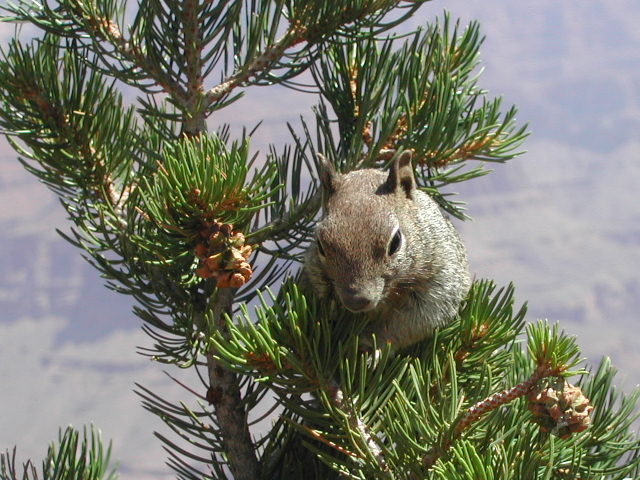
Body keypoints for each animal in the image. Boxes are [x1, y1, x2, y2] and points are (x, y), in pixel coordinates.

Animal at [302, 152, 472, 350]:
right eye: (320, 244)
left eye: (396, 242)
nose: (356, 301)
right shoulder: (314, 274)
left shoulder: (439, 280)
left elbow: (412, 323)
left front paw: (370, 344)